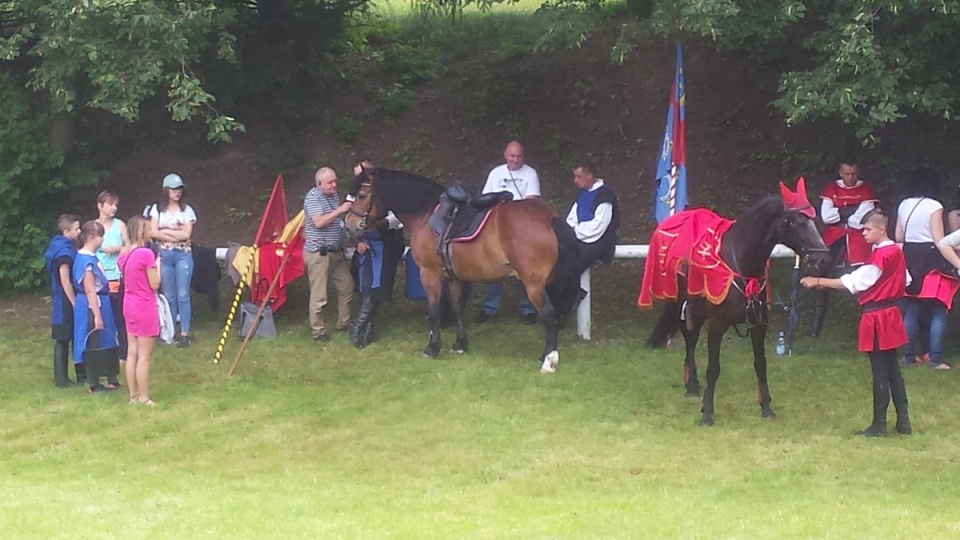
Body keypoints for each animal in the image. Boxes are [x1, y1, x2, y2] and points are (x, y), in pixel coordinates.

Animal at [342, 168, 580, 372]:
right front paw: (460, 345)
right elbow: (457, 309)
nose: (349, 225)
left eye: (362, 195)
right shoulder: (454, 278)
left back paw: (548, 361)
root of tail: (550, 217)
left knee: (549, 315)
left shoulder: (429, 274)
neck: (424, 214)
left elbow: (434, 311)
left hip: (533, 285)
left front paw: (432, 348)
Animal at [640, 181, 828, 426]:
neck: (741, 262)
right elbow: (713, 368)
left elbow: (761, 364)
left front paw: (766, 408)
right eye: (798, 222)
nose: (823, 259)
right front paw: (707, 414)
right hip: (685, 304)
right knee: (690, 339)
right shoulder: (717, 325)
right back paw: (692, 386)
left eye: (813, 220)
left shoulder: (759, 325)